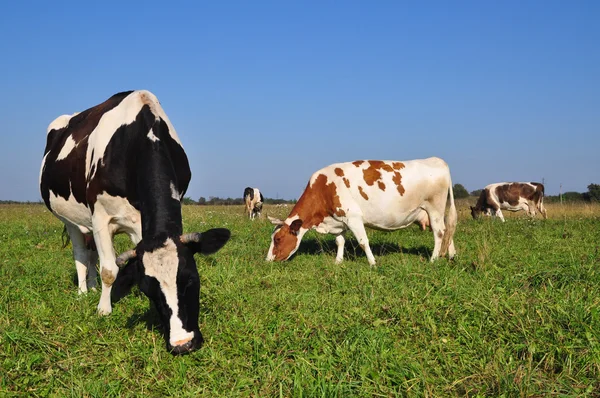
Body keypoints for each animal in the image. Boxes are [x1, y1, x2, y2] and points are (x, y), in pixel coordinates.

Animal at [39, 90, 231, 354]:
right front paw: (104, 309)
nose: (183, 344)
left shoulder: (143, 224)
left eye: (192, 279)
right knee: (80, 254)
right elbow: (109, 270)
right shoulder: (100, 217)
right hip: (71, 219)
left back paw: (93, 286)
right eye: (149, 288)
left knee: (91, 254)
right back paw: (83, 292)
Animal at [264, 157, 458, 266]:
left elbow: (363, 242)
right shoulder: (339, 220)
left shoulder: (353, 217)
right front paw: (338, 261)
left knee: (439, 233)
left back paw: (433, 260)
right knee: (448, 230)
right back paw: (450, 256)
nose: (268, 261)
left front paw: (372, 263)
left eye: (278, 239)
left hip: (435, 208)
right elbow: (340, 241)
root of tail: (436, 159)